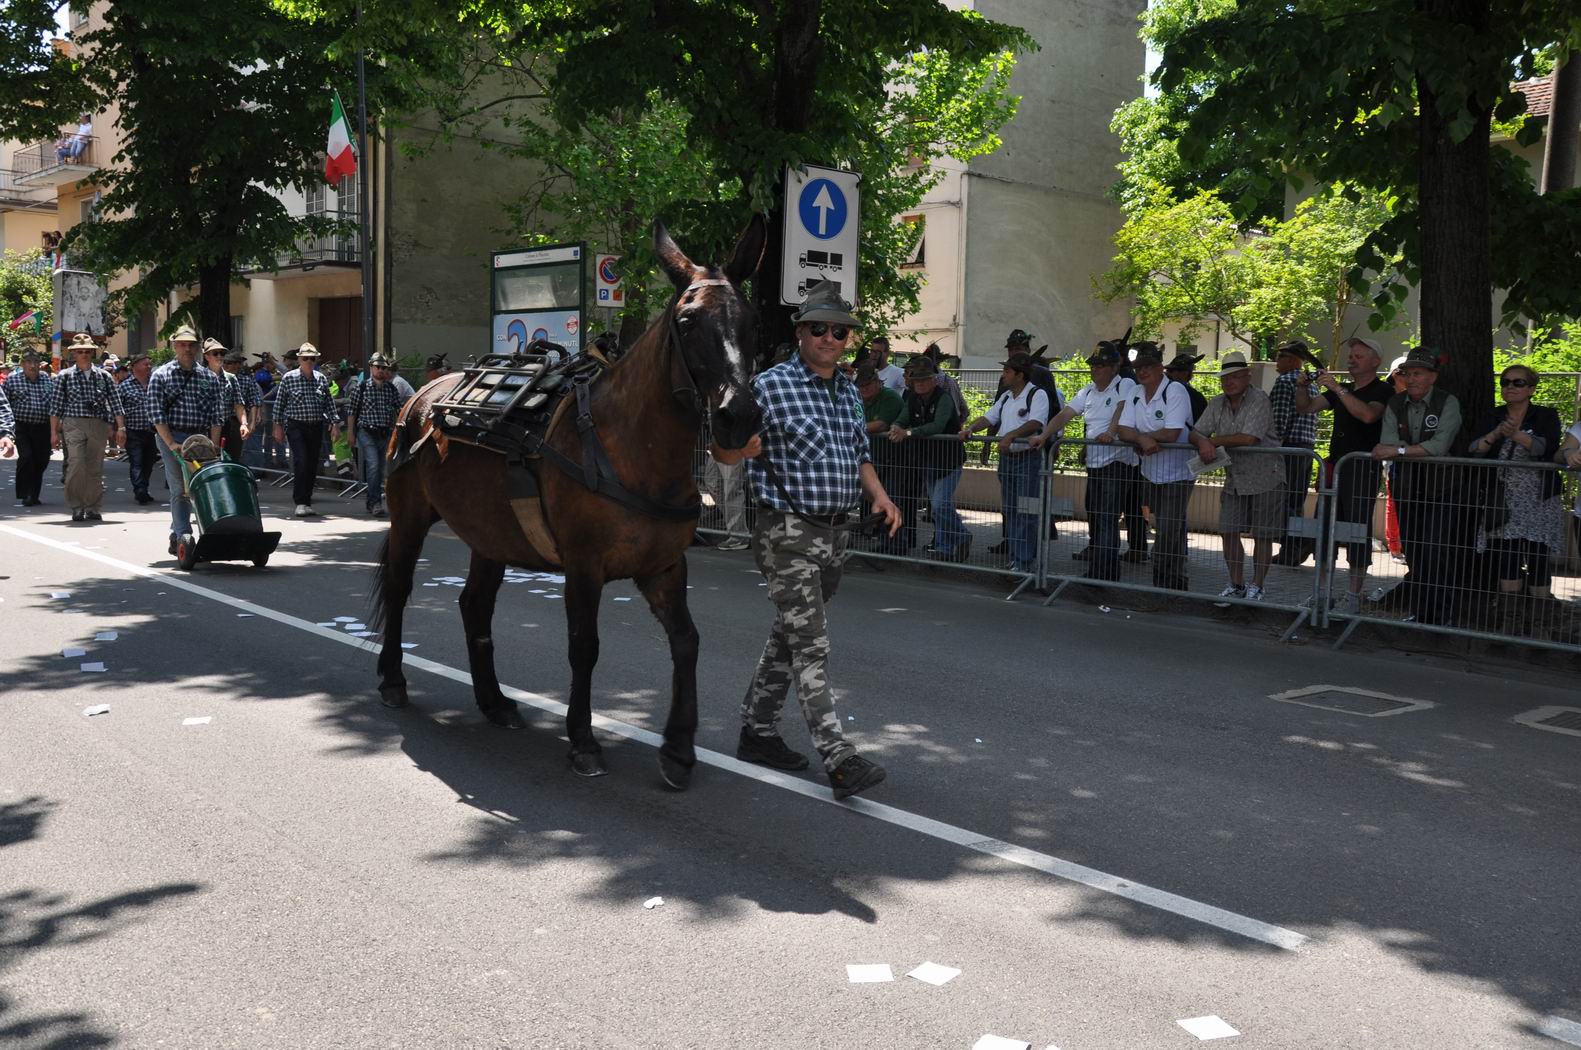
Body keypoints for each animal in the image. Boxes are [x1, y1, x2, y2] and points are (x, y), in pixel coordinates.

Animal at [370, 216, 767, 789]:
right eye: (688, 320)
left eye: (751, 320)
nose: (739, 416)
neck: (629, 446)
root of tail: (421, 396)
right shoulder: (584, 566)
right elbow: (585, 646)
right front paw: (582, 740)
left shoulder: (664, 567)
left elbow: (687, 641)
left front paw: (677, 747)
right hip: (410, 518)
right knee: (400, 589)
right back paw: (393, 679)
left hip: (491, 535)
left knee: (474, 606)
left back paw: (494, 700)